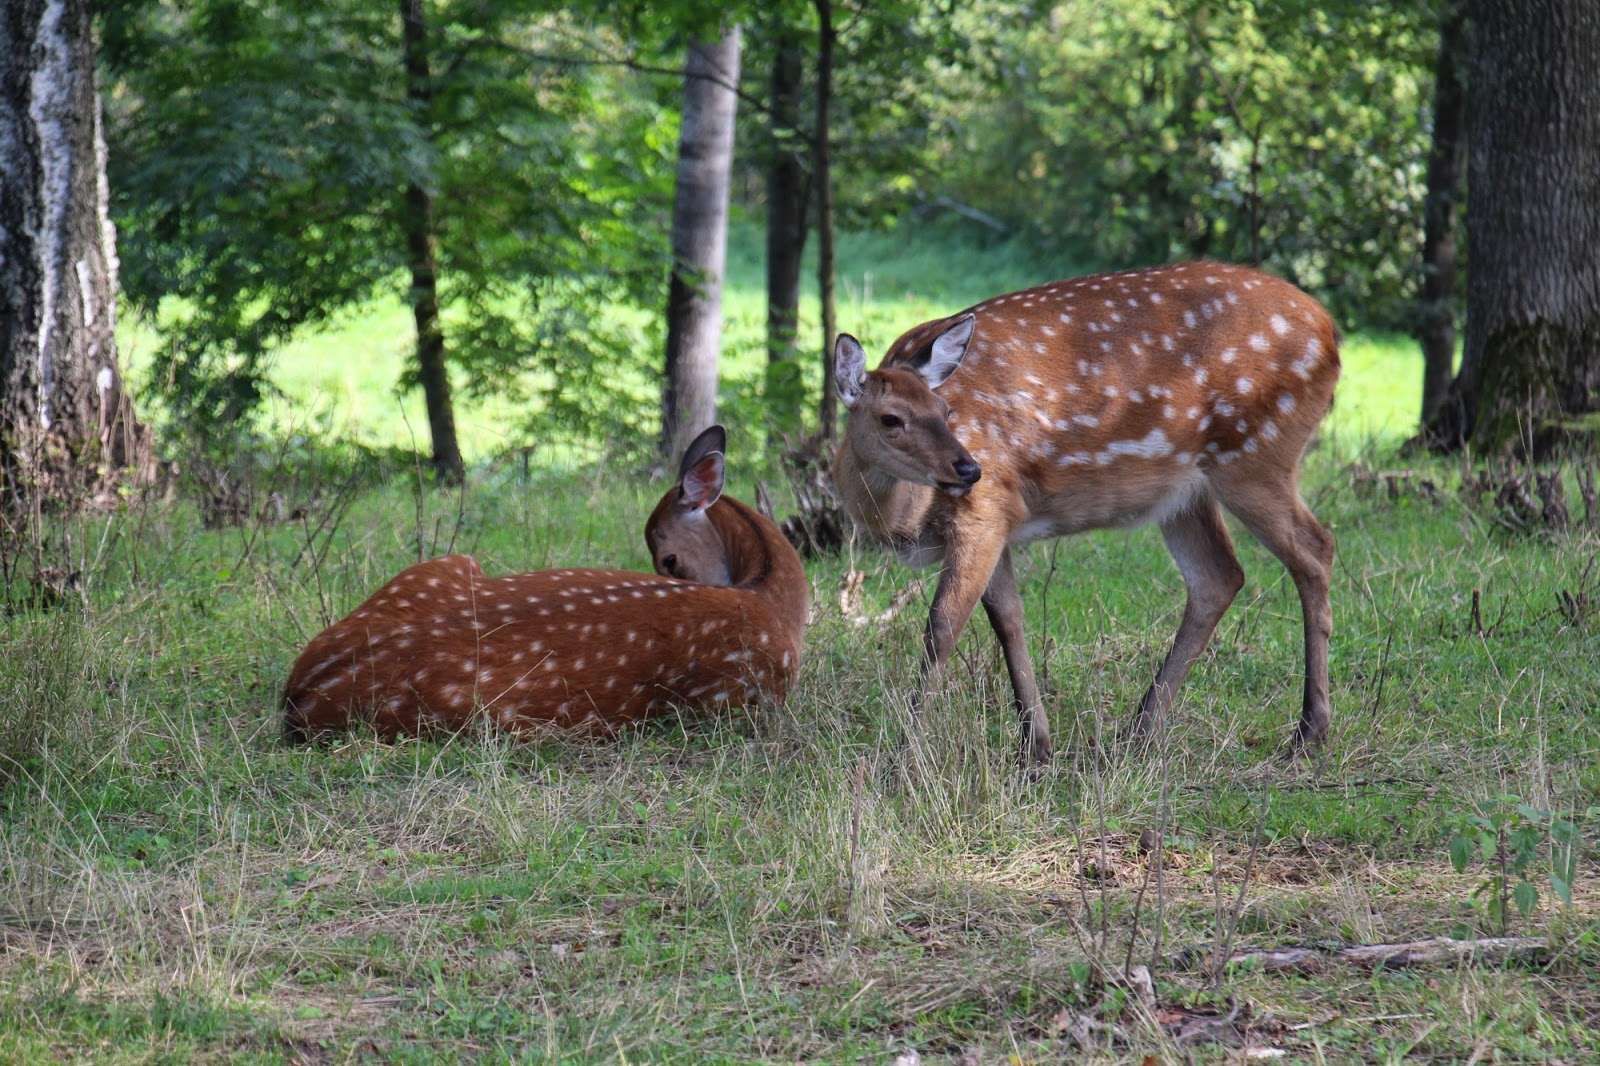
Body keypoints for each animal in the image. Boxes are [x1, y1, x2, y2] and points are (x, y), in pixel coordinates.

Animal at [832, 264, 1344, 765]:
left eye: (946, 410)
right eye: (891, 418)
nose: (969, 468)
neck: (908, 523)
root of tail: (1330, 332)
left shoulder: (985, 510)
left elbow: (941, 628)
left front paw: (903, 761)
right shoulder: (996, 521)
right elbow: (1009, 620)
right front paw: (1035, 747)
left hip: (1255, 454)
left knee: (1314, 549)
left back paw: (1309, 731)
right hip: (1185, 492)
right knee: (1219, 576)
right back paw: (1139, 733)